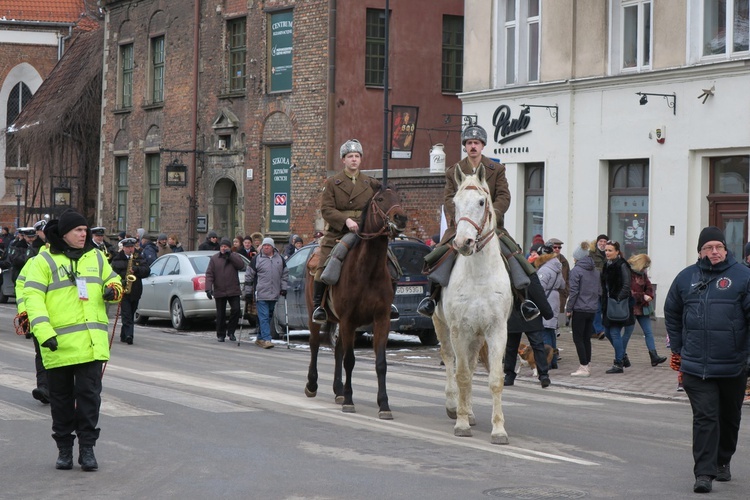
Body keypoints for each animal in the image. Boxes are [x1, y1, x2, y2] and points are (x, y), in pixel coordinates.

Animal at [306, 185, 408, 418]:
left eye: (399, 198)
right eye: (380, 199)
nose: (401, 218)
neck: (368, 270)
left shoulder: (381, 320)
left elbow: (380, 363)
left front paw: (384, 404)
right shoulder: (348, 320)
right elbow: (350, 360)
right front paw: (349, 401)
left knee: (337, 350)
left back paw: (338, 390)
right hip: (315, 315)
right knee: (315, 344)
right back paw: (312, 385)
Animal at [434, 165, 516, 446]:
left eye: (482, 202)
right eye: (455, 203)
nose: (463, 243)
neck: (480, 275)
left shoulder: (496, 330)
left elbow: (495, 380)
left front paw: (499, 430)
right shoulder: (459, 329)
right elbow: (461, 374)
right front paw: (460, 424)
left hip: (477, 336)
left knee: (469, 365)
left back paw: (468, 412)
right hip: (443, 326)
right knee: (451, 361)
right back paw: (453, 407)